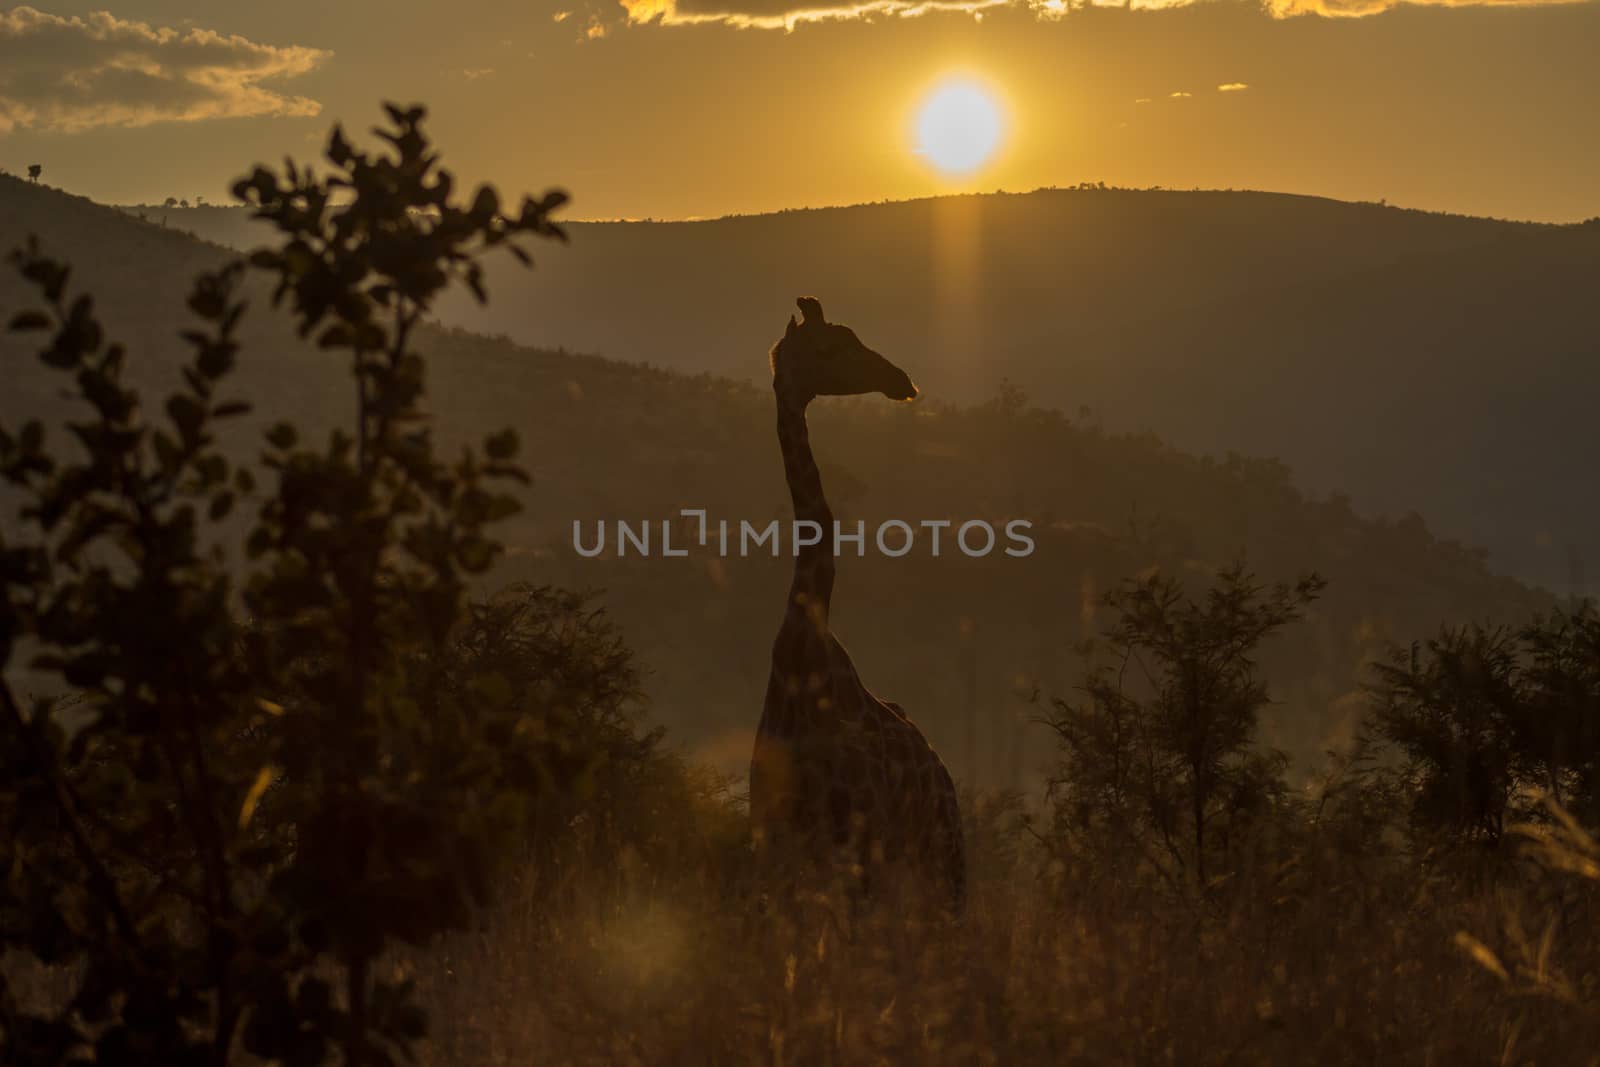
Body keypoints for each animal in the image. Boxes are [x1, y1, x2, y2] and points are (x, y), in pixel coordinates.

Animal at [748, 295, 960, 915]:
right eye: (831, 347)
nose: (902, 380)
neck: (800, 646)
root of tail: (943, 772)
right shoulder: (772, 838)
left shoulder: (857, 840)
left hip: (939, 860)